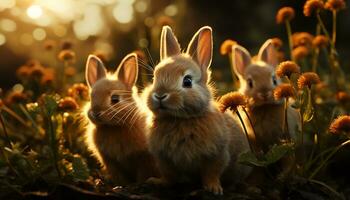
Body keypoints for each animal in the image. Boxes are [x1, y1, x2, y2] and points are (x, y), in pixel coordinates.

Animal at [84, 52, 158, 184]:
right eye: (91, 97)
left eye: (115, 99)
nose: (96, 112)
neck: (113, 127)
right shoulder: (110, 161)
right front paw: (120, 184)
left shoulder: (144, 158)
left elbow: (143, 174)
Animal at [142, 25, 252, 195]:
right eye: (154, 78)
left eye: (187, 81)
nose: (160, 95)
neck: (179, 119)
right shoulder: (164, 159)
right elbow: (169, 176)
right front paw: (157, 182)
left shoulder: (216, 154)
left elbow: (212, 172)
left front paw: (213, 189)